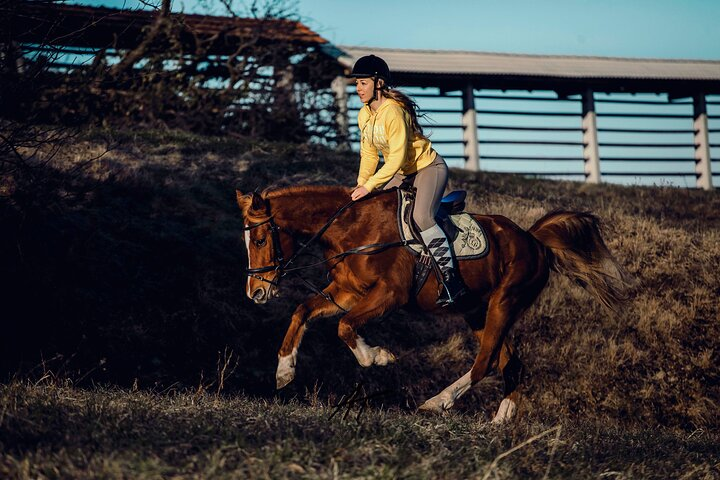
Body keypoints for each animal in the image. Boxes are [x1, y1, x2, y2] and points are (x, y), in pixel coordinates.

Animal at [238, 186, 632, 422]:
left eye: (259, 239)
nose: (255, 293)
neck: (353, 228)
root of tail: (533, 240)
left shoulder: (389, 294)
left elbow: (345, 326)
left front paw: (377, 357)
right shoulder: (345, 291)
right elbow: (303, 312)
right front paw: (284, 371)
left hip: (505, 302)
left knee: (486, 361)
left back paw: (438, 402)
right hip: (477, 311)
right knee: (509, 361)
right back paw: (500, 421)